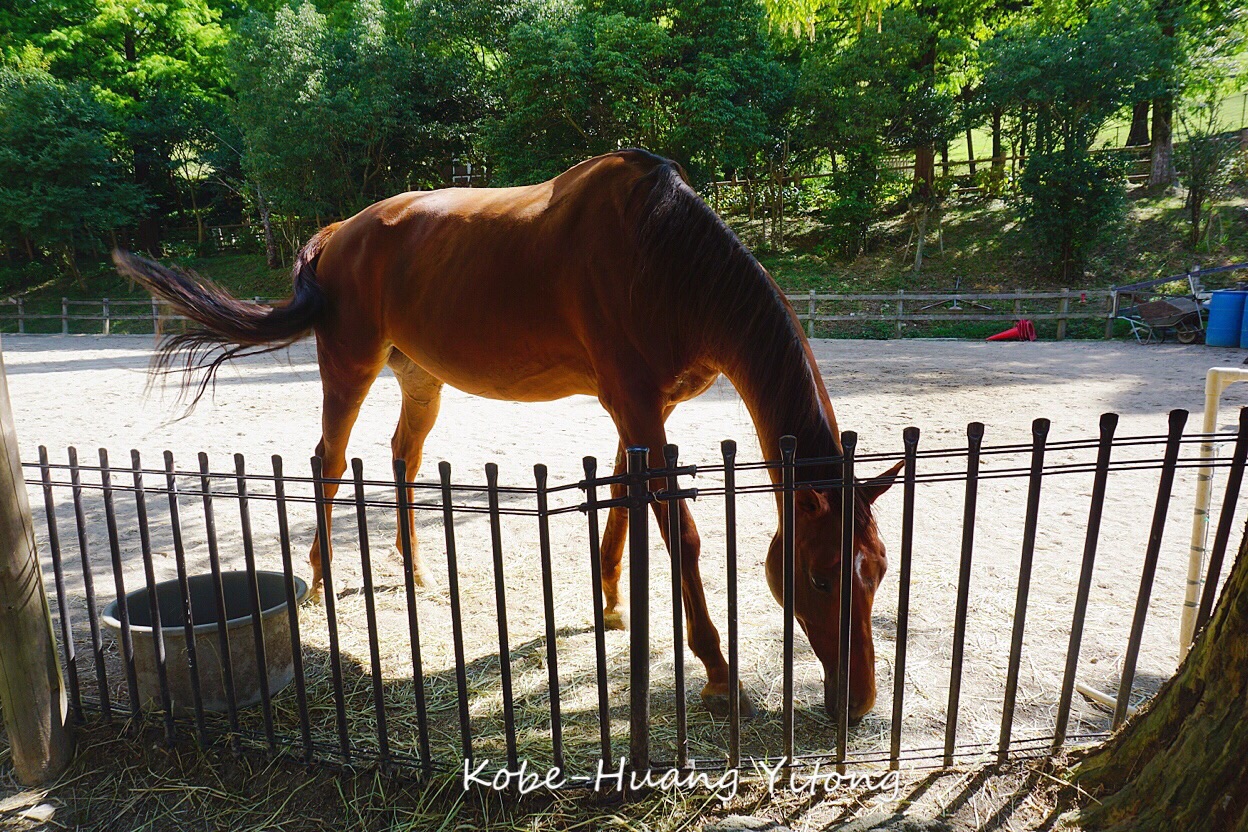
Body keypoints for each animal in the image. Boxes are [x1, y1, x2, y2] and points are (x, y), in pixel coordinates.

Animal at [114, 149, 898, 723]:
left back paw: (417, 571)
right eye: (820, 575)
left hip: (419, 377)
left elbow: (622, 496)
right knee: (329, 462)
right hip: (349, 366)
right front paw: (716, 671)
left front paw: (609, 599)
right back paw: (320, 579)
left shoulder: (643, 409)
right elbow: (681, 532)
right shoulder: (637, 404)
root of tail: (339, 234)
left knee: (403, 458)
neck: (668, 258)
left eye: (880, 570)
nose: (858, 704)